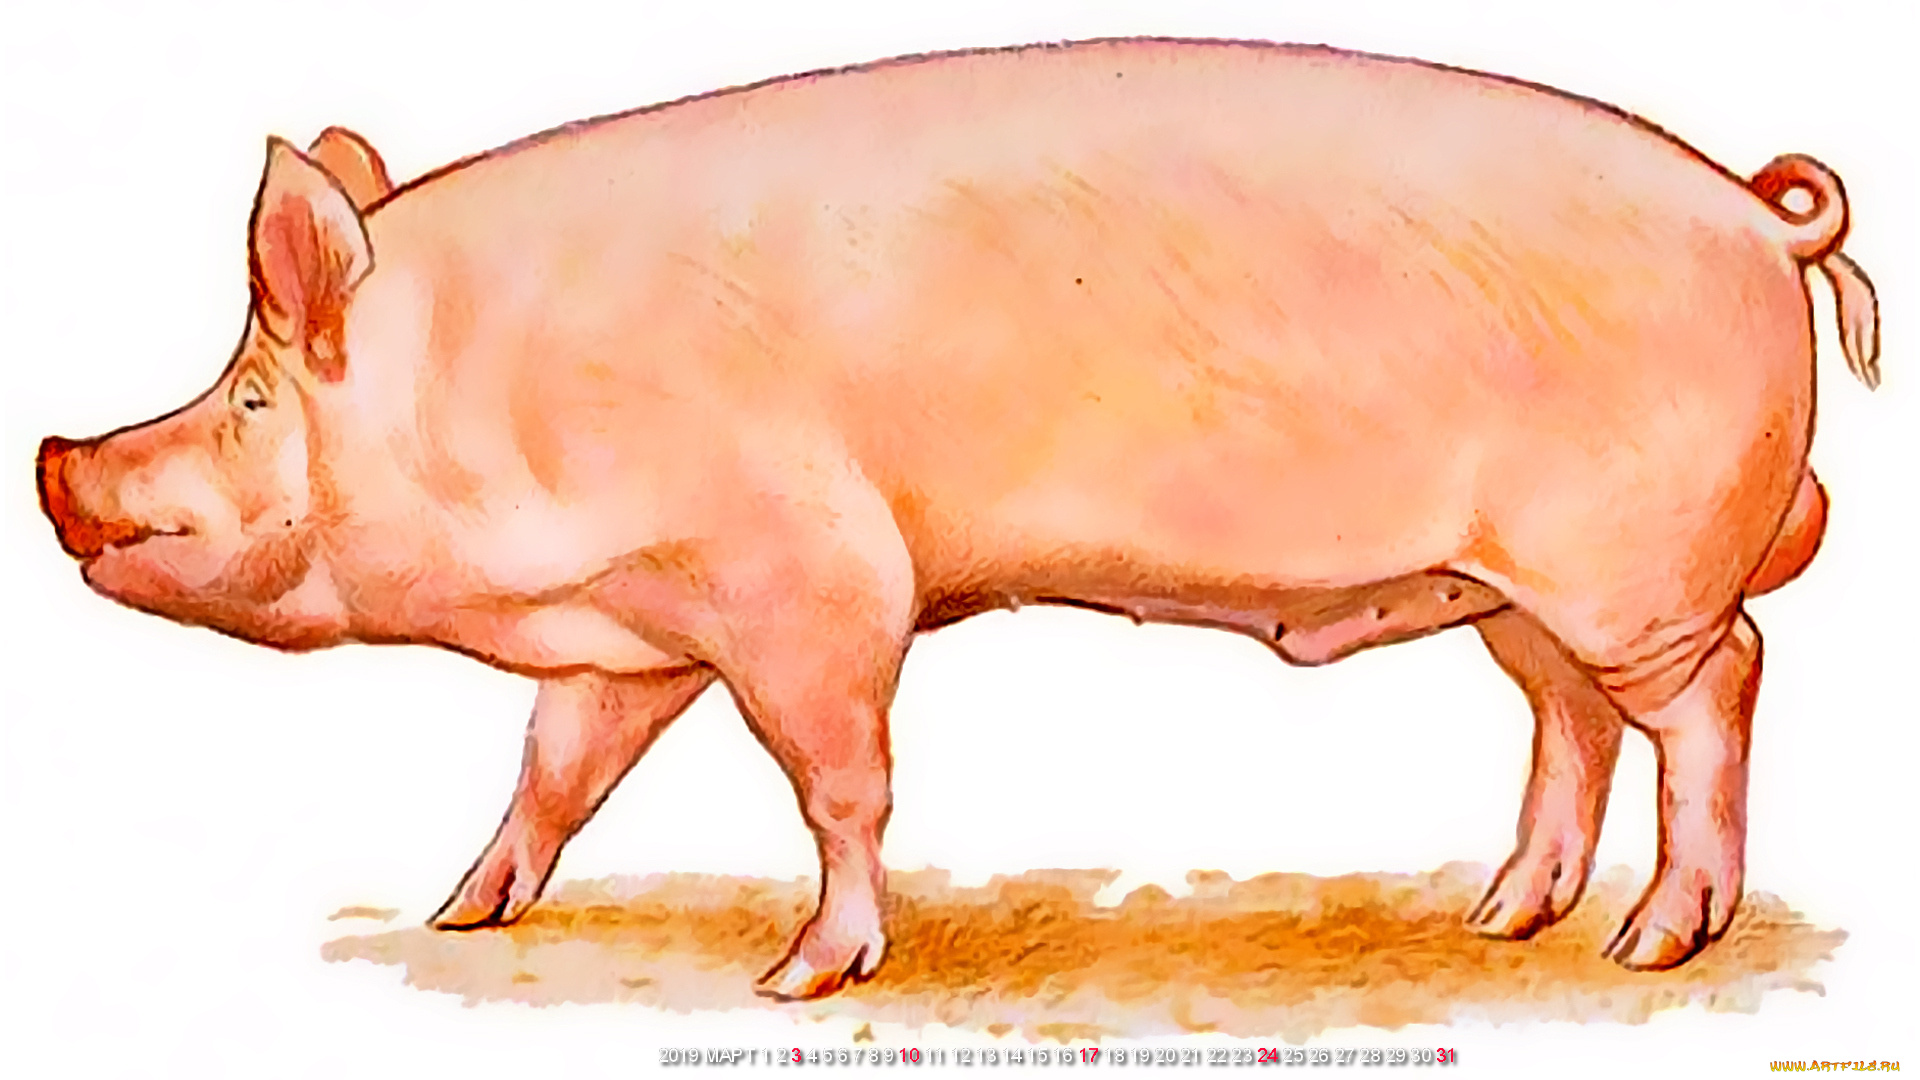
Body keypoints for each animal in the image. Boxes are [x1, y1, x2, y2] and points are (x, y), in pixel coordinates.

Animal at [35, 38, 1881, 1000]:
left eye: (250, 396)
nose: (56, 457)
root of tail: (1761, 217)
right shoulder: (634, 636)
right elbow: (553, 770)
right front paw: (457, 914)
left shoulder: (811, 580)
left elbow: (841, 781)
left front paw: (805, 977)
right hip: (1510, 588)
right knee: (1577, 718)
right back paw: (1507, 919)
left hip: (1634, 567)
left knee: (1724, 684)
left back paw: (1655, 947)